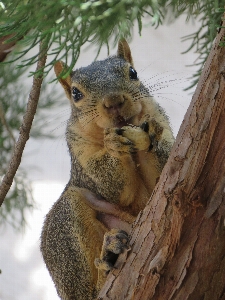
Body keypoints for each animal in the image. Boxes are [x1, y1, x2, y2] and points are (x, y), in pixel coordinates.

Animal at [40, 39, 174, 300]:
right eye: (76, 93)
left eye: (133, 73)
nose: (114, 102)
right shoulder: (81, 155)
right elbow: (112, 188)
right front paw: (113, 146)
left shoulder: (161, 120)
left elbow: (164, 171)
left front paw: (150, 135)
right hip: (64, 231)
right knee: (86, 292)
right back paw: (107, 260)